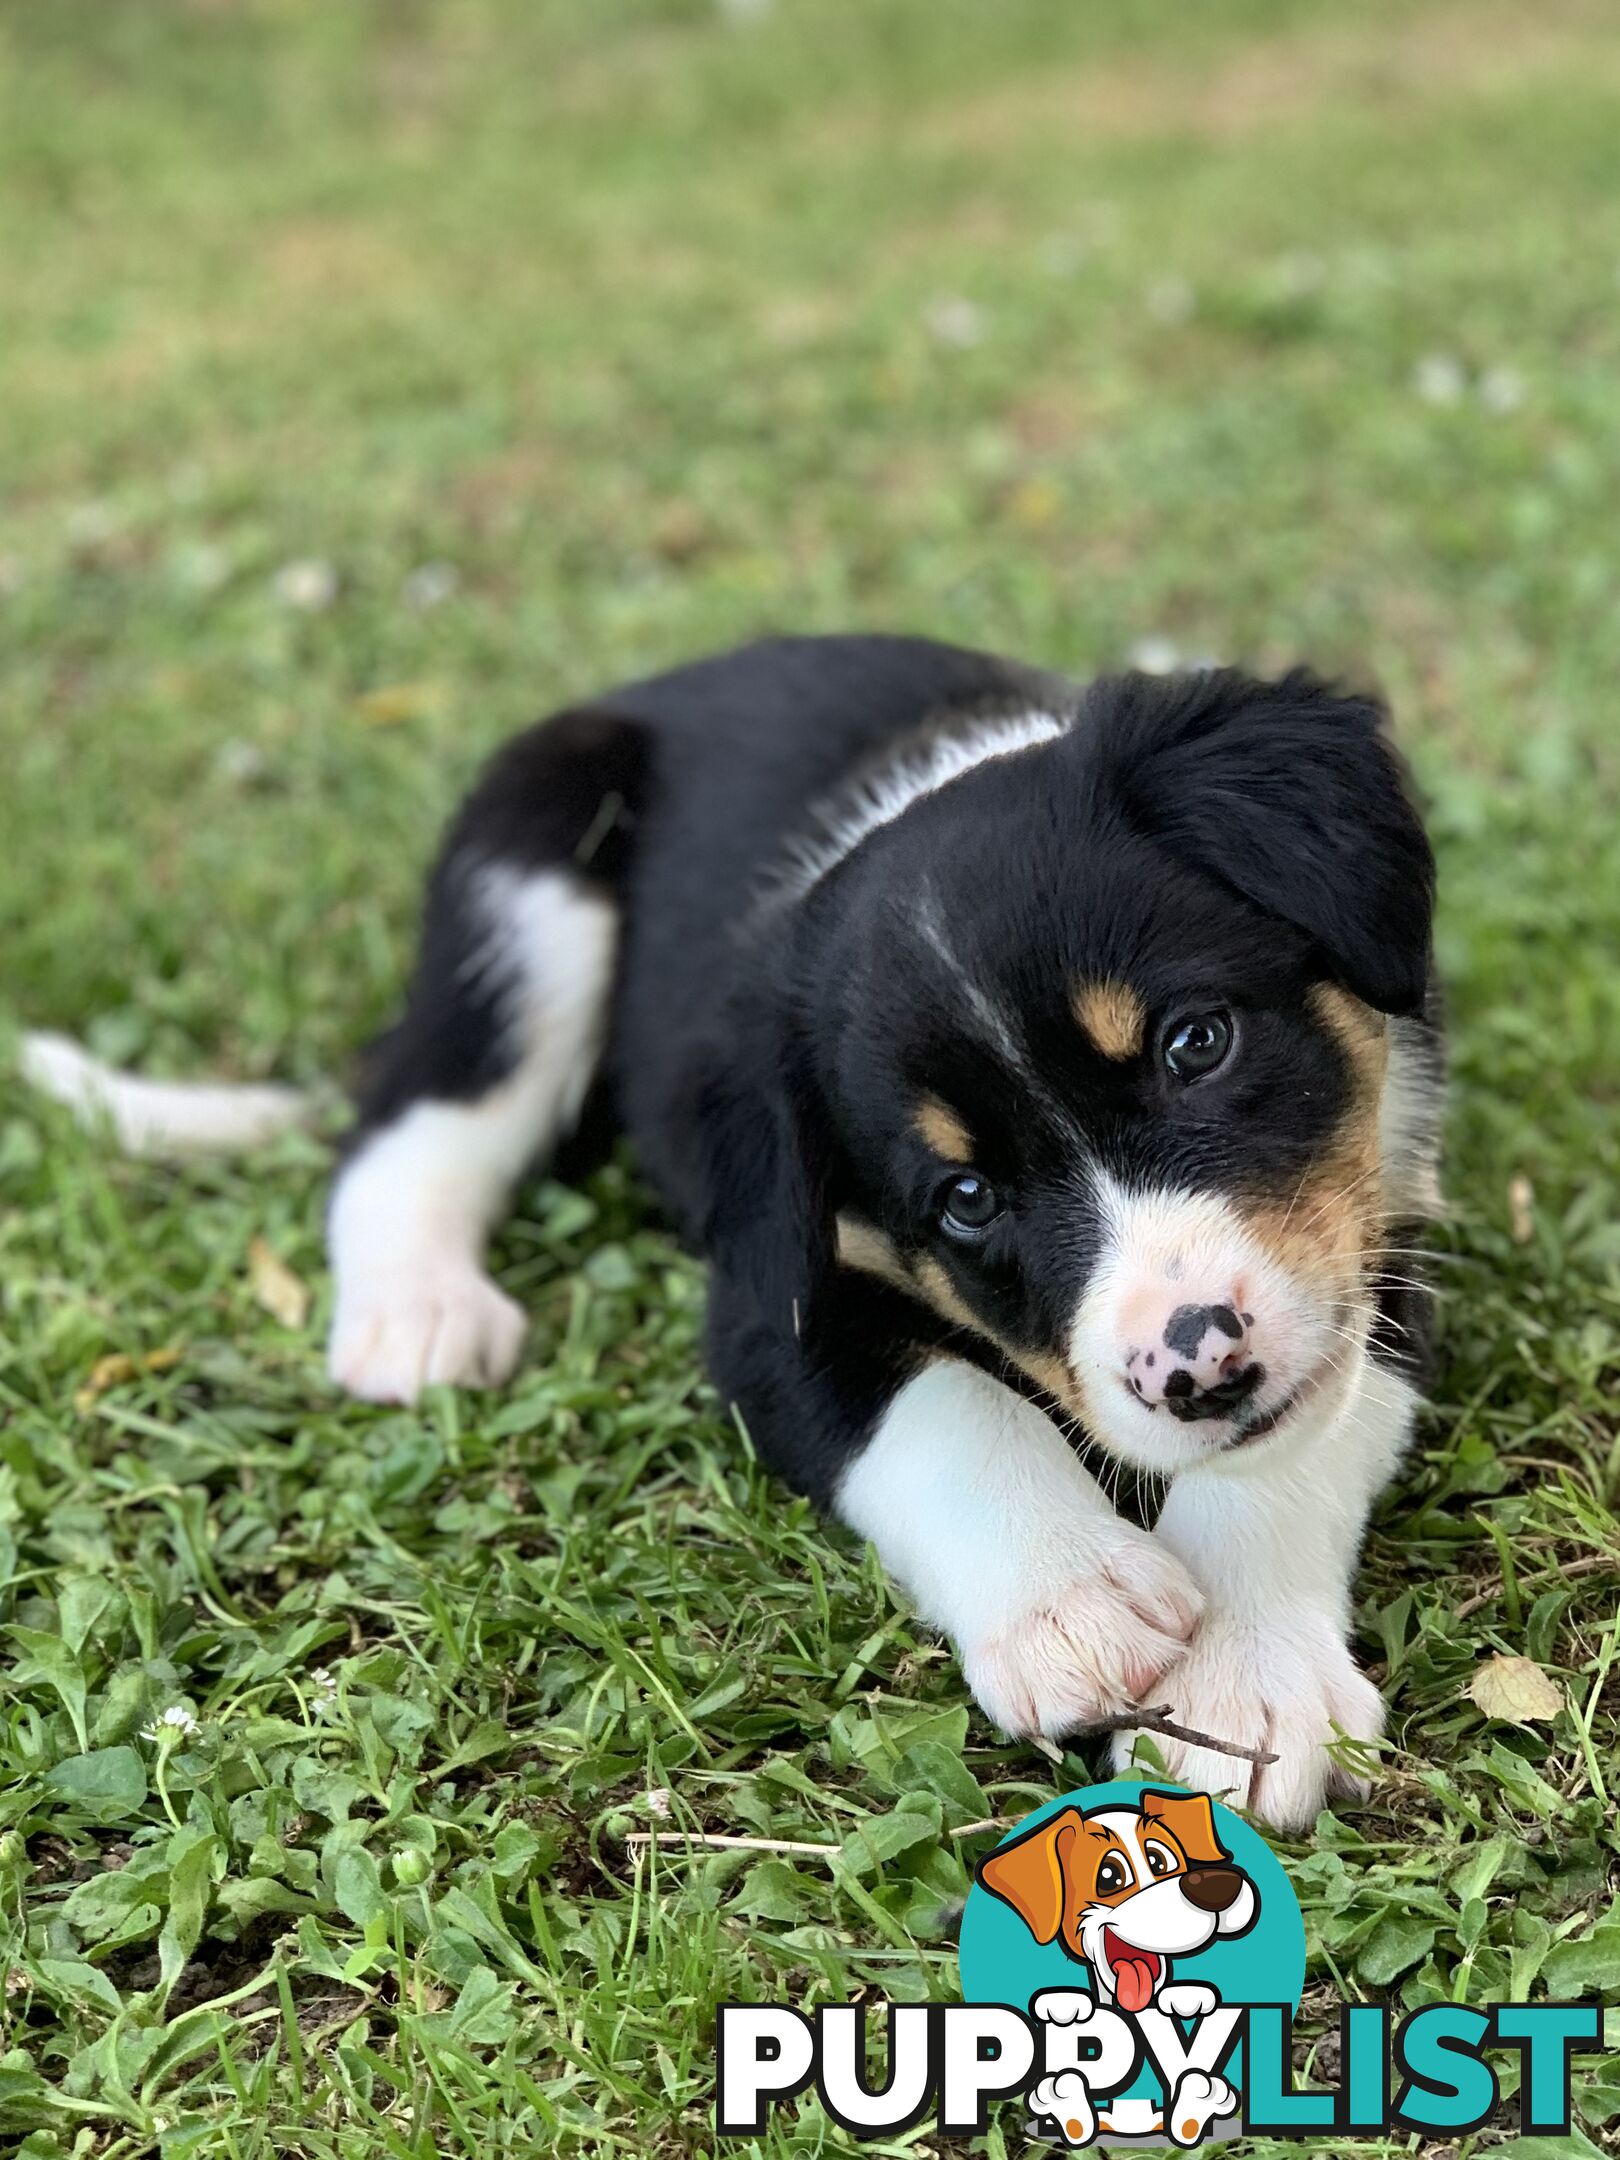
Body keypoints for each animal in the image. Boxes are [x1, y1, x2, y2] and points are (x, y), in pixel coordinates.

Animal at [25, 635, 1442, 1823]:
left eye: (1197, 1044)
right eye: (965, 1199)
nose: (1198, 1366)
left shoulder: (1380, 1224)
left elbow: (1295, 1438)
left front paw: (1241, 1692)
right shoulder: (772, 1297)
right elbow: (941, 1409)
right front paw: (1072, 1601)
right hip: (526, 884)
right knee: (410, 1124)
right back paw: (418, 1307)